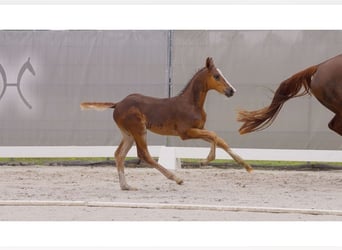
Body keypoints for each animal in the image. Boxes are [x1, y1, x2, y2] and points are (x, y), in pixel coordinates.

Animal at [81, 57, 252, 190]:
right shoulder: (185, 133)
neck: (191, 104)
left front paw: (247, 166)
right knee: (144, 154)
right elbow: (214, 136)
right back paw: (176, 178)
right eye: (216, 76)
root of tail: (117, 104)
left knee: (119, 154)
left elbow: (219, 140)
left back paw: (126, 186)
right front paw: (205, 160)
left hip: (128, 134)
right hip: (139, 130)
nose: (232, 91)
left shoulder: (198, 129)